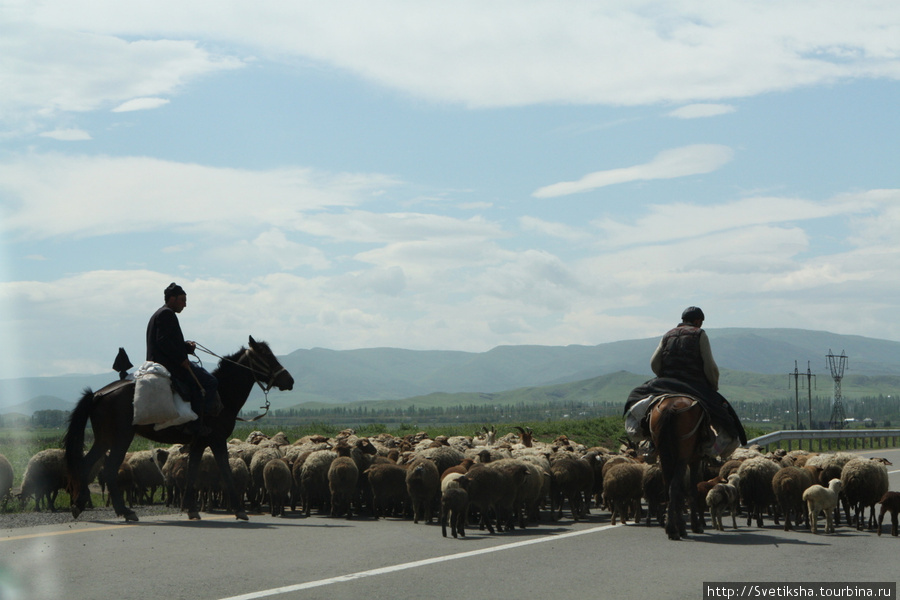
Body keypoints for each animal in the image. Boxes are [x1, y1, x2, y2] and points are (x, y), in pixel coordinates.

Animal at [64, 336, 296, 524]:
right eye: (266, 356)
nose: (289, 380)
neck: (222, 392)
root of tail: (98, 394)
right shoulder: (217, 439)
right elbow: (225, 470)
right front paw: (239, 510)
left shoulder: (199, 442)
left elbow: (192, 471)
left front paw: (191, 509)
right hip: (121, 438)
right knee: (110, 469)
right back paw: (125, 511)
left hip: (104, 439)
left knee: (85, 464)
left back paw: (79, 503)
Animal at [648, 394, 712, 540]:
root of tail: (670, 407)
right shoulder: (694, 460)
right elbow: (692, 491)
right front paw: (695, 525)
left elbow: (681, 492)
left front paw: (682, 526)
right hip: (683, 457)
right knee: (674, 487)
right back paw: (673, 530)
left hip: (665, 457)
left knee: (669, 487)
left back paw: (672, 527)